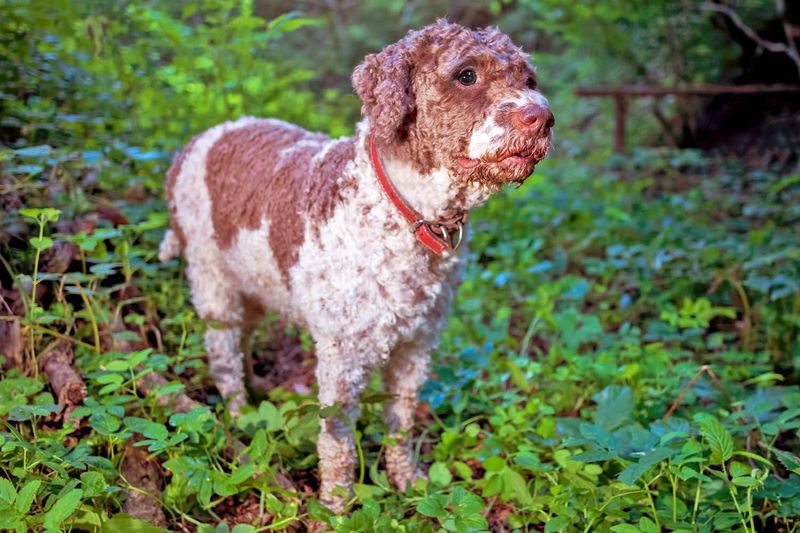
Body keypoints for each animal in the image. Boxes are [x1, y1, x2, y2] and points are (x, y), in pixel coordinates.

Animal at [159, 18, 552, 510]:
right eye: (466, 75)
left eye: (529, 80)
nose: (543, 117)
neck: (405, 213)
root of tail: (194, 144)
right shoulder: (341, 354)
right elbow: (338, 438)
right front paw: (337, 505)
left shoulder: (416, 346)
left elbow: (401, 422)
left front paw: (407, 480)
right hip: (214, 285)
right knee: (224, 357)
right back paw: (240, 414)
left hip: (254, 284)